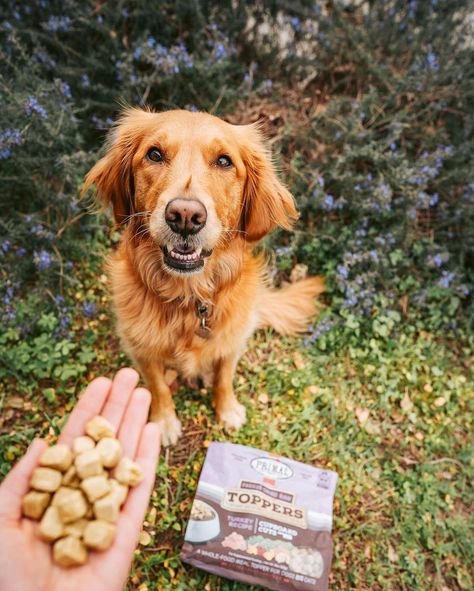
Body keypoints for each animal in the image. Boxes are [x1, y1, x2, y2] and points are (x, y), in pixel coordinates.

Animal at [83, 108, 324, 446]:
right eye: (154, 154)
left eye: (224, 161)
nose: (185, 216)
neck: (188, 297)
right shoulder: (140, 347)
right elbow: (157, 385)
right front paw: (164, 421)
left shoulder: (232, 339)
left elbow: (224, 376)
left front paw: (227, 409)